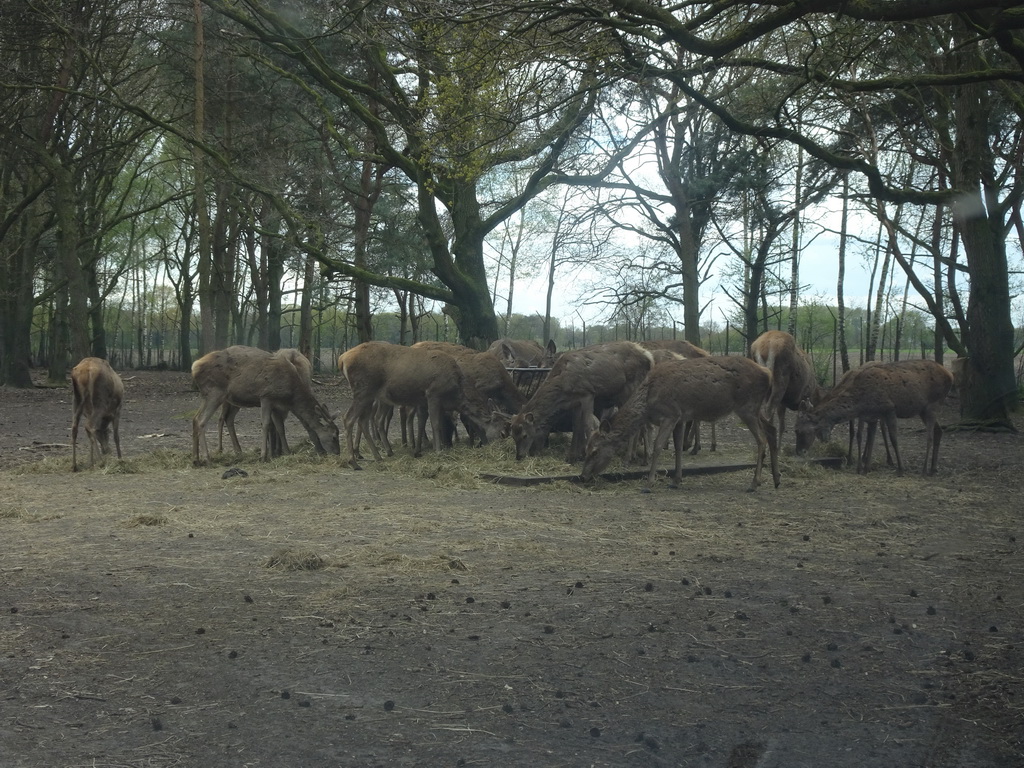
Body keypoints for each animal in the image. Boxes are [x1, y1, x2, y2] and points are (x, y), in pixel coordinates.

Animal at [190, 348, 337, 466]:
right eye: (334, 436)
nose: (337, 453)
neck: (291, 392)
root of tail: (194, 366)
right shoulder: (266, 396)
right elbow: (266, 424)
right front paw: (264, 456)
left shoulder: (277, 405)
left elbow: (280, 427)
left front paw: (285, 452)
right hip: (215, 392)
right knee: (202, 421)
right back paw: (208, 459)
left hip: (215, 396)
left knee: (197, 418)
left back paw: (196, 459)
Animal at [339, 342, 507, 468]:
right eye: (502, 432)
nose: (495, 448)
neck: (455, 393)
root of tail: (342, 358)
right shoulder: (433, 393)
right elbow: (435, 424)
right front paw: (438, 450)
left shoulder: (423, 401)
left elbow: (422, 422)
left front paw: (419, 450)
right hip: (363, 389)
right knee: (349, 418)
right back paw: (353, 461)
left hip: (371, 395)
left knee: (364, 420)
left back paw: (379, 456)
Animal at [505, 344, 651, 462]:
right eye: (512, 435)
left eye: (524, 435)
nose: (519, 456)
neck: (563, 385)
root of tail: (648, 356)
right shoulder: (574, 401)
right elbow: (577, 425)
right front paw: (572, 457)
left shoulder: (587, 393)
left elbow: (587, 425)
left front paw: (586, 454)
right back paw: (638, 456)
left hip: (631, 386)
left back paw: (630, 457)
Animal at [581, 356, 778, 493]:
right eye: (586, 449)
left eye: (595, 451)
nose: (583, 476)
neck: (647, 403)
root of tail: (768, 373)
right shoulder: (681, 418)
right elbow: (677, 447)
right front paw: (676, 480)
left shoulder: (670, 414)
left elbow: (659, 446)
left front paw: (649, 483)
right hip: (755, 408)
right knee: (771, 429)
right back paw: (776, 478)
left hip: (747, 406)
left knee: (761, 439)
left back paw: (754, 483)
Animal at [790, 360, 950, 475]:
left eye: (798, 430)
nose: (799, 451)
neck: (861, 401)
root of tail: (950, 375)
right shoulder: (872, 416)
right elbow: (870, 439)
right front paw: (865, 468)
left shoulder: (889, 409)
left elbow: (893, 439)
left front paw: (901, 468)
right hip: (923, 410)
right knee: (939, 431)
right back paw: (934, 468)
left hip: (932, 405)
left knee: (929, 436)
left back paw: (924, 469)